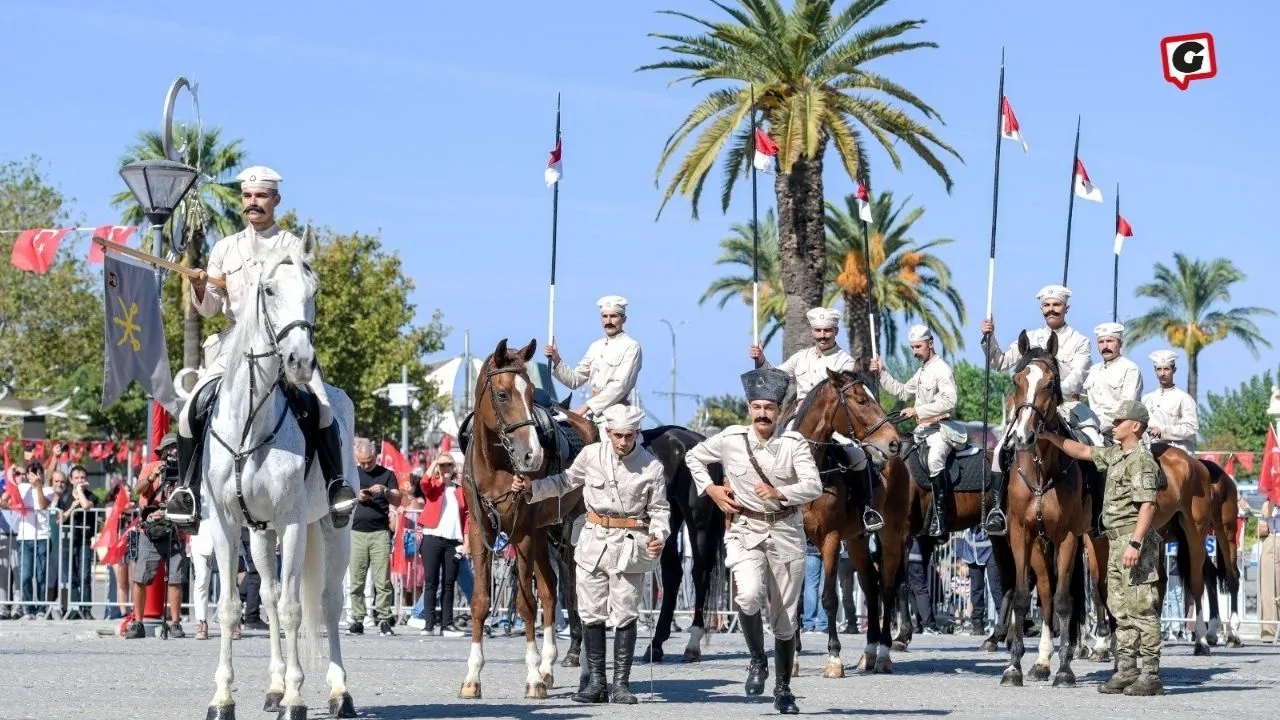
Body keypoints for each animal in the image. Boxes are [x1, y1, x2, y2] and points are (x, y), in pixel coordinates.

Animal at [202, 239, 358, 717]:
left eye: (314, 290)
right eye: (268, 290)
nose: (301, 361)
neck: (251, 424)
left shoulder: (291, 523)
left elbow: (293, 609)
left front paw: (295, 697)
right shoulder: (226, 523)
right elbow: (231, 608)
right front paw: (223, 698)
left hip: (332, 526)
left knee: (328, 602)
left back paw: (338, 692)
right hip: (259, 533)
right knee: (268, 597)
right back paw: (272, 687)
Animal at [458, 338, 596, 696]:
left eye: (532, 392)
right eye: (502, 394)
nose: (532, 455)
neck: (496, 466)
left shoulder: (522, 534)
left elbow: (525, 604)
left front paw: (532, 675)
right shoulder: (481, 533)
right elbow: (481, 601)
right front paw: (472, 676)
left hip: (569, 537)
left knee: (574, 594)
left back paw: (579, 668)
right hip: (545, 536)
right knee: (550, 591)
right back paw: (548, 666)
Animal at [788, 366, 911, 676]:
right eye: (861, 400)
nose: (892, 442)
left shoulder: (830, 540)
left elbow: (829, 599)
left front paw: (834, 657)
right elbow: (794, 601)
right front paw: (792, 657)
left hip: (891, 537)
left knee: (887, 587)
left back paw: (883, 653)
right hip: (856, 542)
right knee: (871, 585)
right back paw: (868, 653)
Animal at [993, 333, 1085, 686]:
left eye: (1050, 383)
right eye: (1017, 380)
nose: (1023, 436)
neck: (1042, 468)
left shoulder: (1070, 537)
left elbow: (1063, 601)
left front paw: (1066, 670)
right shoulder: (1022, 534)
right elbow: (1023, 597)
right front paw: (1013, 667)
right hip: (1039, 548)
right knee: (1044, 591)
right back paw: (1043, 662)